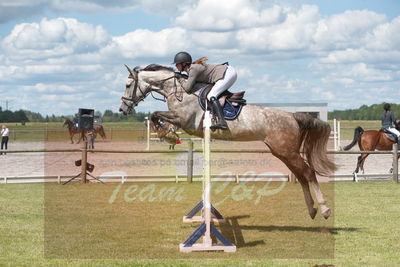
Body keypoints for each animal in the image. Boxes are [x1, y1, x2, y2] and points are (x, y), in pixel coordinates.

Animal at [120, 64, 336, 220]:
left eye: (128, 85)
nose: (123, 109)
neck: (178, 90)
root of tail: (292, 116)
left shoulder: (184, 120)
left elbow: (157, 114)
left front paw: (168, 134)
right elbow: (156, 116)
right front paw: (167, 133)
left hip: (288, 151)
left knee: (309, 173)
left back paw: (324, 210)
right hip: (282, 152)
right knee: (301, 176)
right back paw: (312, 210)